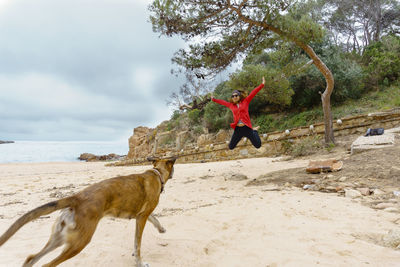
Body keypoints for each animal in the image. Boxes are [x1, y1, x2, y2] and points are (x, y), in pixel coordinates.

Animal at [0, 158, 177, 266]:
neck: (157, 173)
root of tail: (76, 198)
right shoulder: (141, 218)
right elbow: (137, 244)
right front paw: (139, 261)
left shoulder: (141, 215)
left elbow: (155, 219)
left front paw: (161, 229)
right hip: (79, 242)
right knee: (48, 264)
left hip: (59, 238)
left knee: (31, 259)